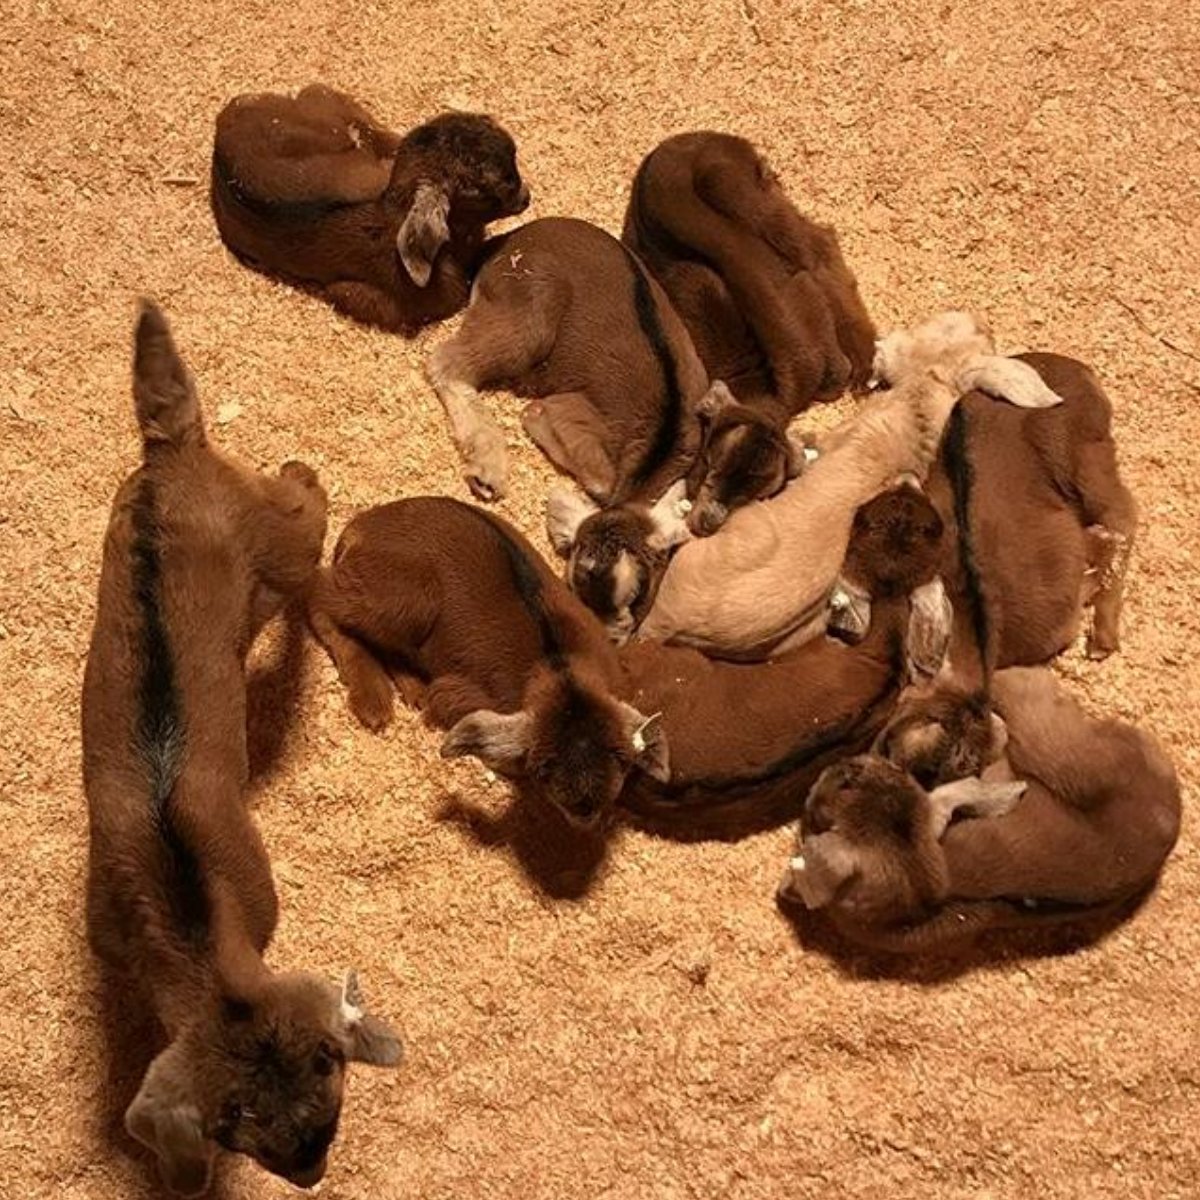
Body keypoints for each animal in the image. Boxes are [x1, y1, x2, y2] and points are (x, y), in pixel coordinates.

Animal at [82, 302, 401, 1196]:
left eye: (331, 1093)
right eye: (237, 1129)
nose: (314, 1173)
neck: (191, 932)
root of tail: (173, 454)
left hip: (282, 543)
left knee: (309, 525)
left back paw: (305, 473)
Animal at [308, 488, 937, 834]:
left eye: (616, 757)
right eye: (542, 767)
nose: (586, 812)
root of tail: (361, 525)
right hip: (401, 598)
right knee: (320, 596)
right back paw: (373, 700)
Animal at [427, 216, 721, 640]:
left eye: (640, 591)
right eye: (573, 582)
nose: (610, 638)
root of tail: (512, 238)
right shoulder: (560, 413)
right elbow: (595, 478)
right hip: (530, 306)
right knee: (447, 362)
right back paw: (488, 468)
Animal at [623, 131, 877, 534]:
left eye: (756, 496)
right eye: (711, 464)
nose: (706, 523)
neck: (758, 388)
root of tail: (704, 136)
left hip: (740, 189)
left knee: (815, 244)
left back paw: (866, 359)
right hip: (728, 182)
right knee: (815, 244)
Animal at [878, 352, 1138, 790]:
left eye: (963, 758)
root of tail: (1068, 364)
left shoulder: (1059, 622)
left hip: (1086, 457)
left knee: (1123, 515)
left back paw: (1103, 636)